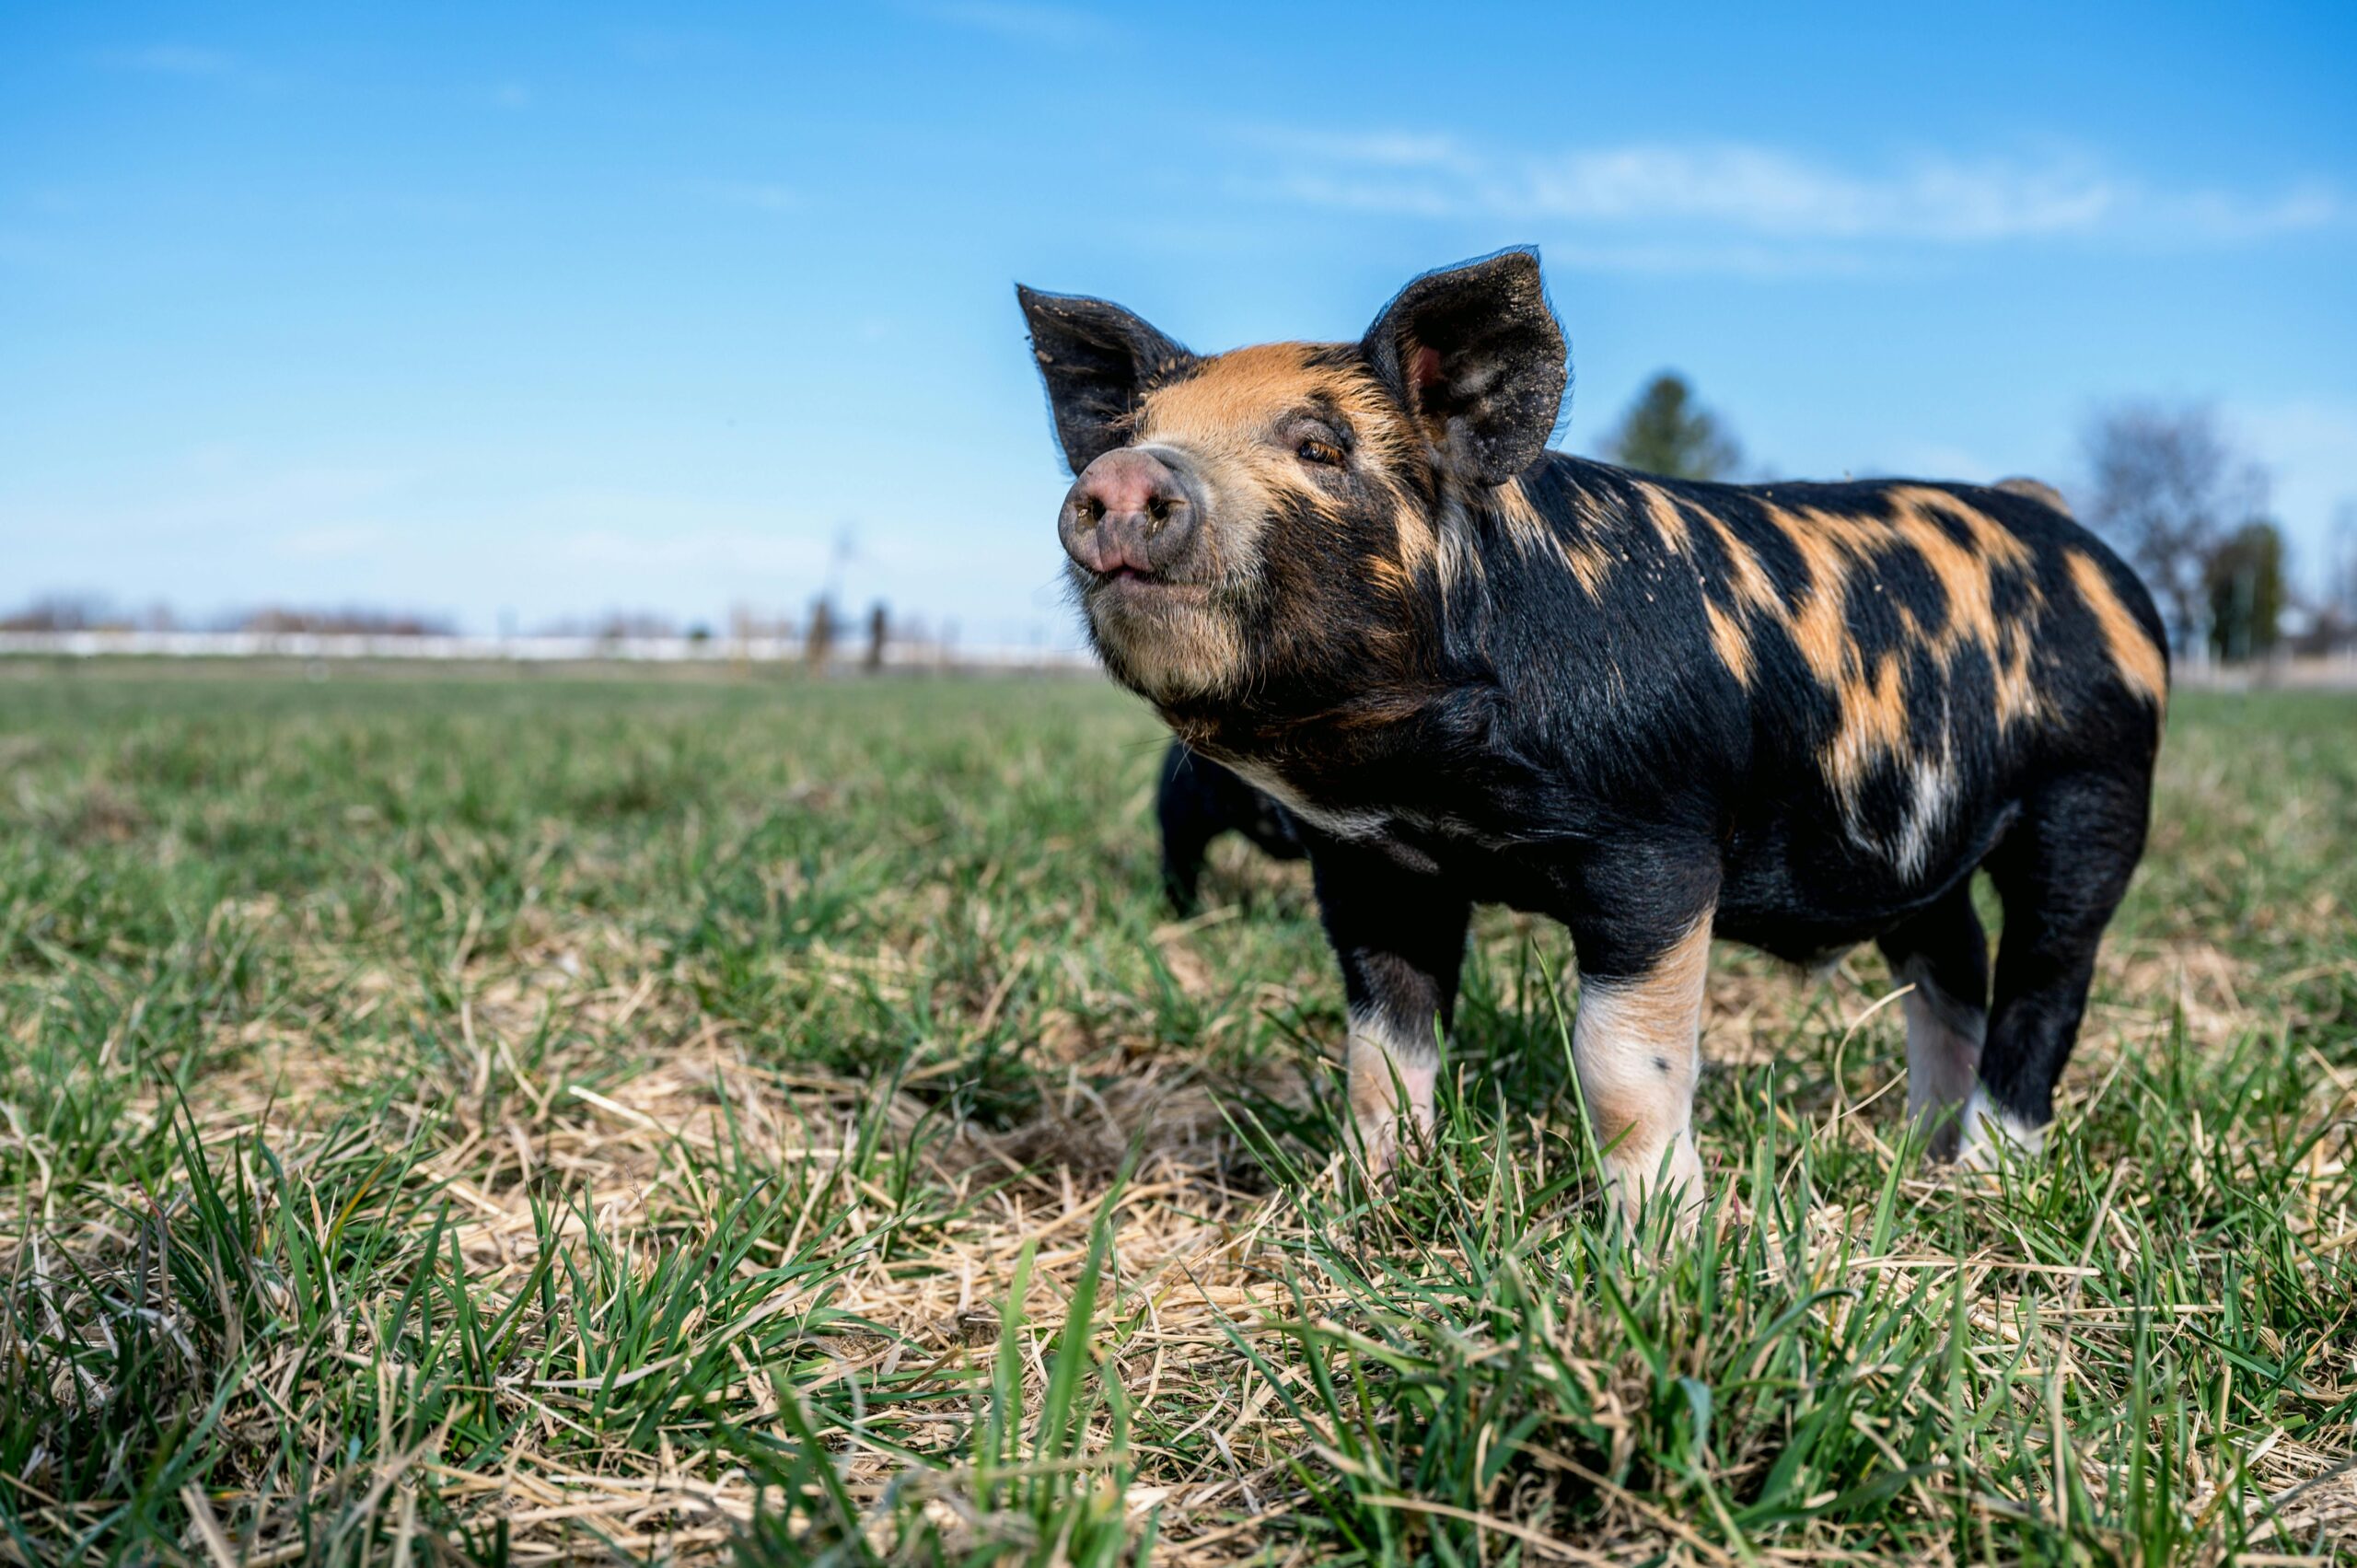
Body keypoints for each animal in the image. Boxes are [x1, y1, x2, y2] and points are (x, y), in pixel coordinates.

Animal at [1013, 247, 2158, 1225]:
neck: (1437, 781)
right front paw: (1373, 1202)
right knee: (1951, 965)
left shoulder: (1655, 845)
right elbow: (1380, 1049)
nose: (1122, 478)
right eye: (1130, 431)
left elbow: (1620, 1067)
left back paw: (1986, 1179)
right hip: (1916, 846)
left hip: (2093, 794)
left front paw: (1661, 1245)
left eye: (1320, 447)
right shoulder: (1369, 862)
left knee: (2044, 985)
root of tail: (2070, 533)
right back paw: (1918, 1154)